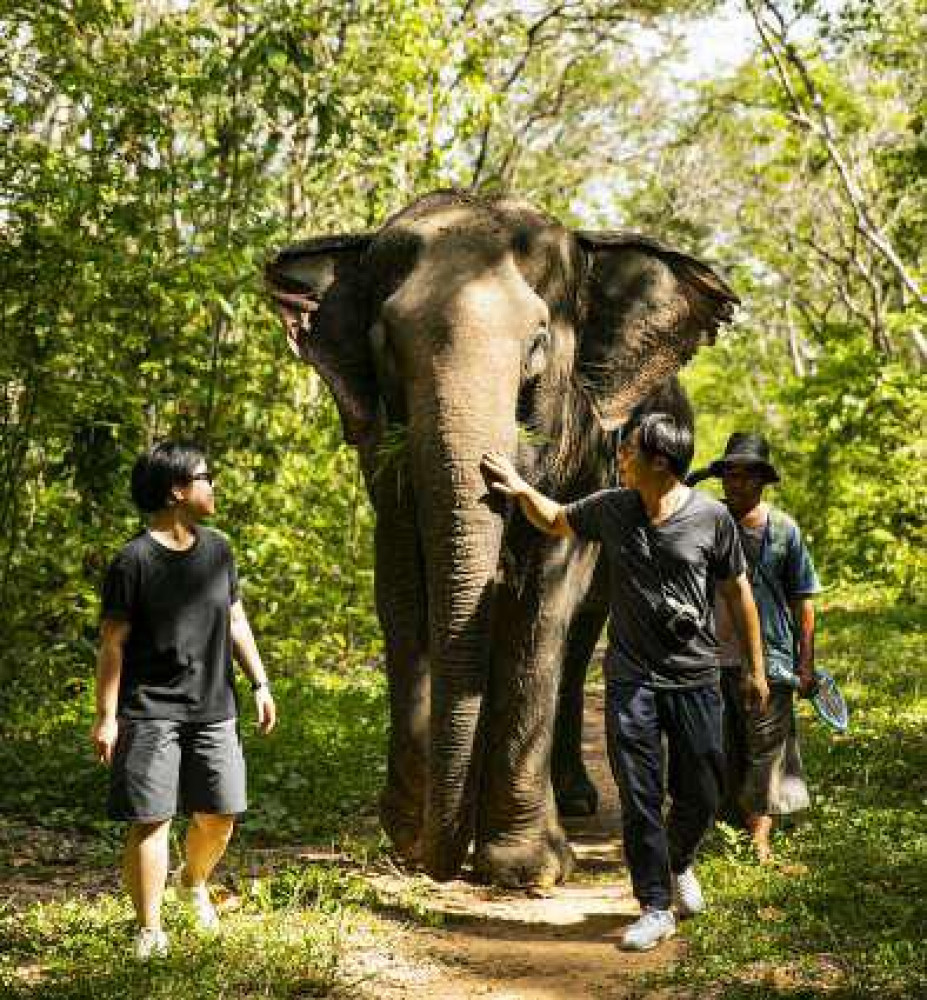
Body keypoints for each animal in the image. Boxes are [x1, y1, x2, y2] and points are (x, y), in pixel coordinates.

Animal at [264, 191, 736, 888]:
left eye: (538, 344)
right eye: (387, 346)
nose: (435, 862)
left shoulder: (583, 454)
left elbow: (542, 600)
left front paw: (525, 869)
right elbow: (401, 590)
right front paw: (412, 837)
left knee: (581, 632)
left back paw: (574, 800)